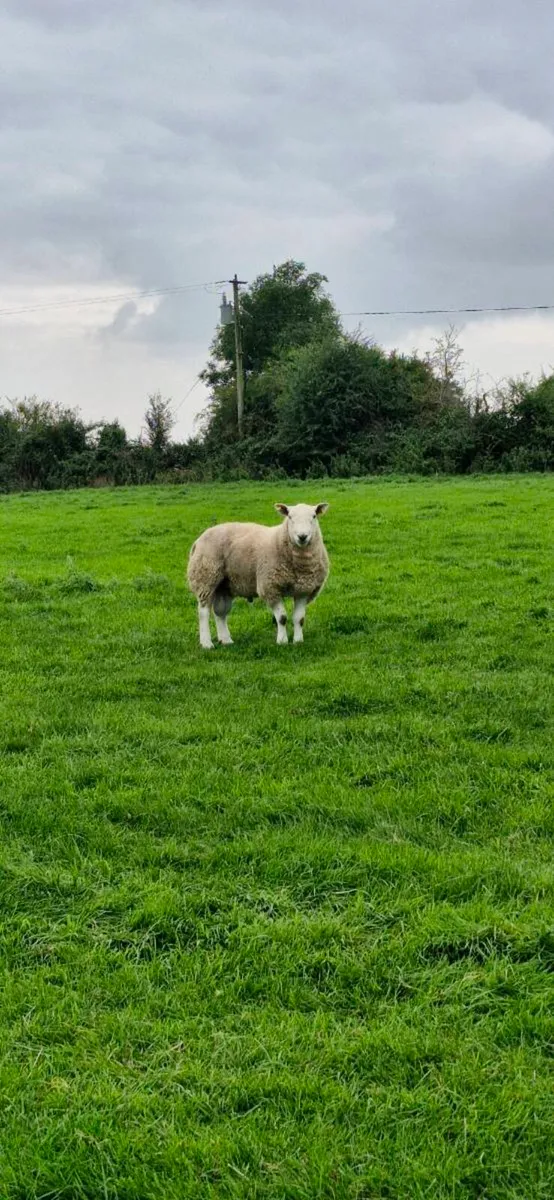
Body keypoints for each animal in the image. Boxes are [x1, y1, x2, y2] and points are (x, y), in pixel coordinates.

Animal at [187, 502, 330, 649]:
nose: (302, 536)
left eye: (314, 516)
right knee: (203, 612)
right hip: (206, 577)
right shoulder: (270, 587)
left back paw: (226, 640)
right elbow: (282, 618)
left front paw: (298, 641)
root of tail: (199, 540)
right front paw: (282, 641)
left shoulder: (303, 589)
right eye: (289, 516)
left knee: (220, 612)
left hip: (224, 585)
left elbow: (299, 619)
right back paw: (206, 643)